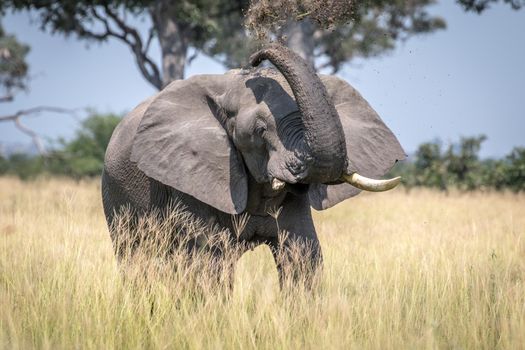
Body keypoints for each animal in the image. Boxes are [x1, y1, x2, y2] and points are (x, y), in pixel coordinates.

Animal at [102, 43, 406, 284]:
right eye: (260, 130)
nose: (255, 59)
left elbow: (303, 257)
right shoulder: (188, 181)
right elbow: (208, 263)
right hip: (117, 197)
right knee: (139, 259)